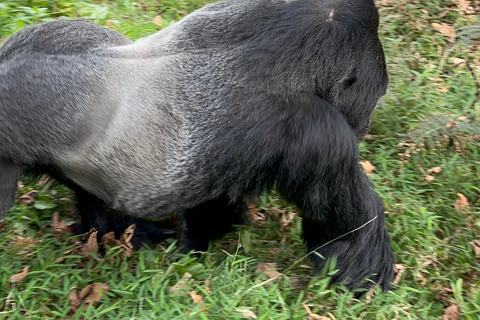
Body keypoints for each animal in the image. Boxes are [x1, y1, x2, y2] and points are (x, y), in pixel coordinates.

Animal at [0, 0, 396, 290]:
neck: (271, 50)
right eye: (374, 95)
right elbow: (345, 222)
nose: (365, 125)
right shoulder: (318, 130)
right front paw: (362, 267)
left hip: (53, 36)